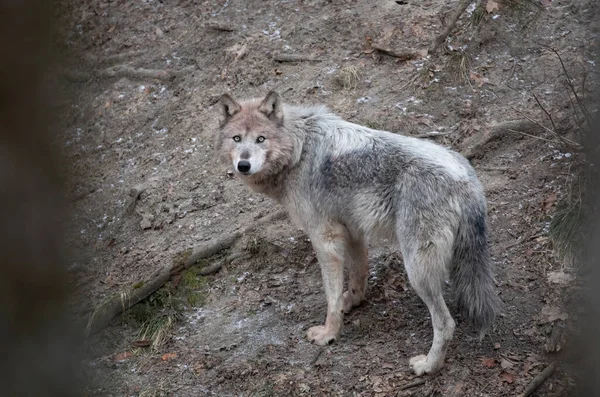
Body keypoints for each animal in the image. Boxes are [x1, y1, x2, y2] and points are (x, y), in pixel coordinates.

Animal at [213, 90, 500, 374]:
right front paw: (351, 302)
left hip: (417, 270)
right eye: (237, 139)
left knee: (445, 323)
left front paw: (329, 333)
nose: (243, 165)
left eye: (261, 139)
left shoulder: (324, 238)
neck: (299, 150)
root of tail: (466, 179)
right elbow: (357, 275)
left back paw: (429, 366)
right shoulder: (352, 230)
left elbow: (330, 296)